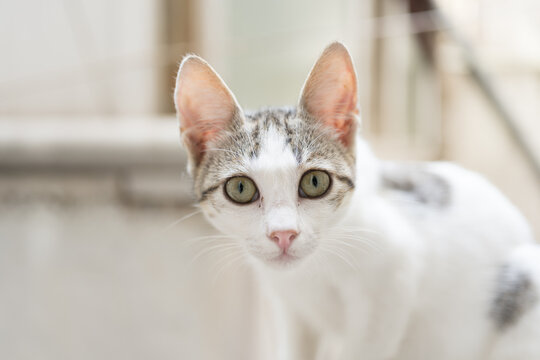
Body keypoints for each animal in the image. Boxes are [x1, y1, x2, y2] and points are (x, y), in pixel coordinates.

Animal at [173, 43, 540, 360]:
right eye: (240, 189)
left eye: (315, 182)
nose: (283, 234)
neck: (312, 270)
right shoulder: (290, 306)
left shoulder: (392, 281)